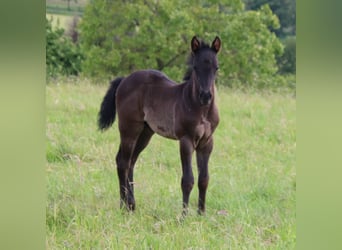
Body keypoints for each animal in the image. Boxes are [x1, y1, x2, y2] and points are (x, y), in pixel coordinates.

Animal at [98, 35, 222, 215]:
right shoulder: (186, 140)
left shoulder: (207, 142)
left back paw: (132, 204)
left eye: (216, 68)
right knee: (123, 162)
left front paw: (201, 214)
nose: (206, 96)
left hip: (145, 132)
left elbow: (204, 179)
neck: (201, 109)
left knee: (131, 161)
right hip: (129, 128)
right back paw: (123, 206)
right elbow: (188, 180)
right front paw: (183, 216)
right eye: (195, 67)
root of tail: (124, 80)